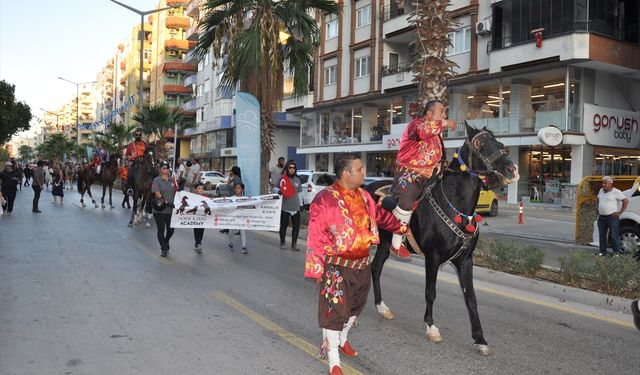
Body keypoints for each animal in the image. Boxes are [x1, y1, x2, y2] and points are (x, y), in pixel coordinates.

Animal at [368, 124, 516, 358]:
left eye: (500, 143)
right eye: (480, 144)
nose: (512, 169)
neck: (456, 206)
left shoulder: (465, 261)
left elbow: (471, 299)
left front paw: (480, 339)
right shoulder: (433, 258)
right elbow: (431, 292)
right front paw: (431, 327)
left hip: (384, 245)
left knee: (375, 269)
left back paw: (382, 308)